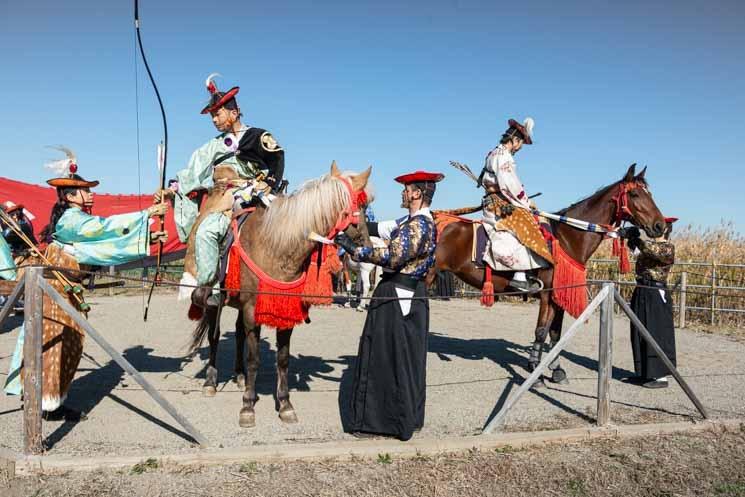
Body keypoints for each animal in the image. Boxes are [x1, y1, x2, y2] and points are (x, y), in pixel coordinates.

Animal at [186, 163, 372, 426]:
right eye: (360, 206)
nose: (368, 247)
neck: (276, 246)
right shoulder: (252, 312)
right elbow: (254, 359)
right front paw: (248, 406)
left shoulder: (283, 312)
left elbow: (283, 359)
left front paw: (285, 404)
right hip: (214, 302)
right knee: (214, 337)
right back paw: (211, 381)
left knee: (239, 335)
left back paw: (239, 375)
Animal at [428, 163, 664, 384]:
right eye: (635, 194)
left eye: (650, 194)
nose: (659, 225)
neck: (567, 237)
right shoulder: (546, 294)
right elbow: (541, 331)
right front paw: (536, 371)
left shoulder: (559, 294)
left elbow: (555, 333)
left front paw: (556, 369)